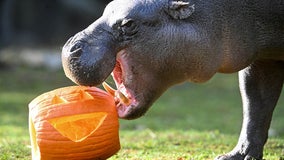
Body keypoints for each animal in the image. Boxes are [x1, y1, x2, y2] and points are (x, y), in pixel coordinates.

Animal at [62, 0, 284, 159]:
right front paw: (237, 156)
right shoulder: (263, 59)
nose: (69, 48)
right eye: (107, 6)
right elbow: (256, 105)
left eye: (128, 24)